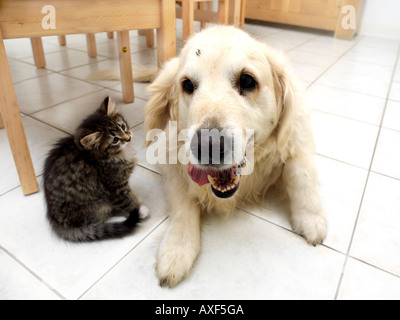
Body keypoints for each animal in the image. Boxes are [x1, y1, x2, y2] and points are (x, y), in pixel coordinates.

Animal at [43, 96, 149, 241]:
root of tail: (57, 221)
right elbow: (127, 200)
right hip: (100, 204)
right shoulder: (116, 186)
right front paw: (139, 210)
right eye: (115, 140)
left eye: (122, 126)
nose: (128, 138)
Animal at [145, 26, 326, 288]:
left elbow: (300, 174)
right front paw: (176, 249)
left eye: (247, 80)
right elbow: (183, 201)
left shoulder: (298, 134)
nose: (207, 147)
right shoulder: (167, 157)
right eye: (187, 85)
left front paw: (311, 218)